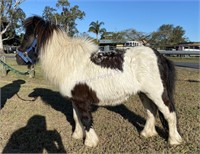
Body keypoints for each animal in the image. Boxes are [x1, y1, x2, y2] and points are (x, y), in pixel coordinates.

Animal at [17, 16, 183, 147]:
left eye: (27, 36)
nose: (18, 58)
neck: (71, 62)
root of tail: (159, 55)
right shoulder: (75, 100)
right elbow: (76, 117)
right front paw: (77, 135)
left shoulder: (82, 101)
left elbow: (85, 119)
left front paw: (90, 142)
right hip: (144, 93)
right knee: (151, 112)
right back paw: (147, 133)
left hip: (157, 93)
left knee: (169, 114)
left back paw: (174, 140)